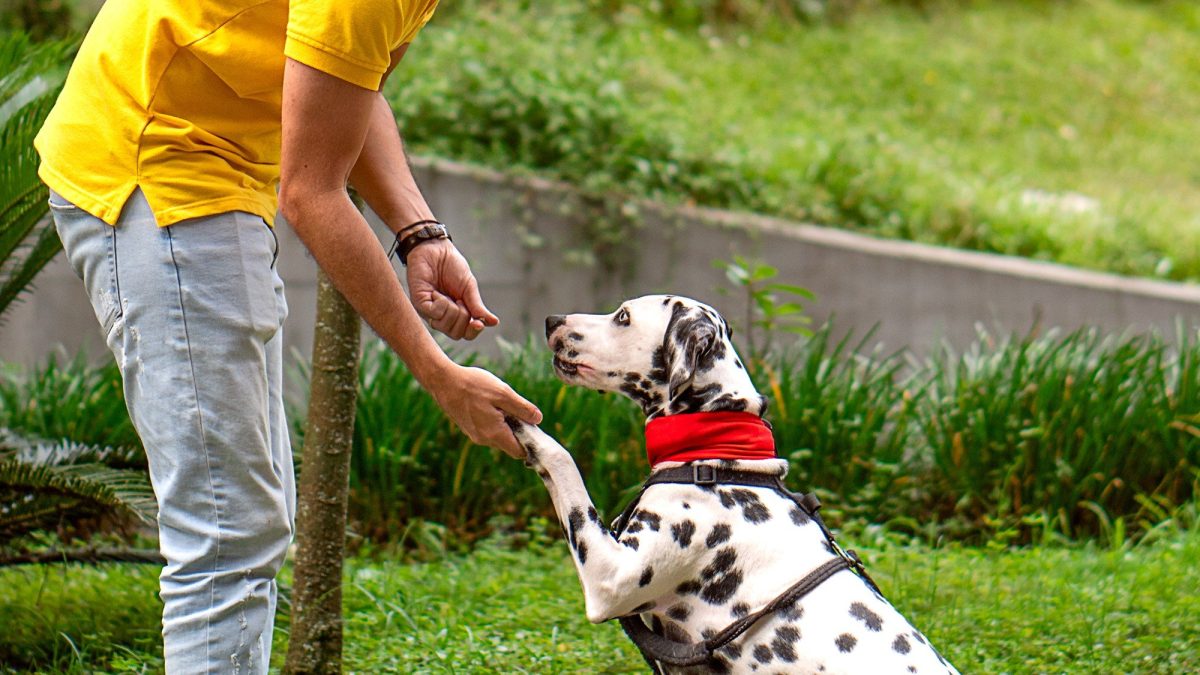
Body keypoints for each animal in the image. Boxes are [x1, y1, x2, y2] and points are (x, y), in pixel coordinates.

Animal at [506, 294, 955, 672]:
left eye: (623, 317)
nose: (552, 320)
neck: (714, 452)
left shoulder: (610, 577)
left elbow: (563, 462)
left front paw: (522, 425)